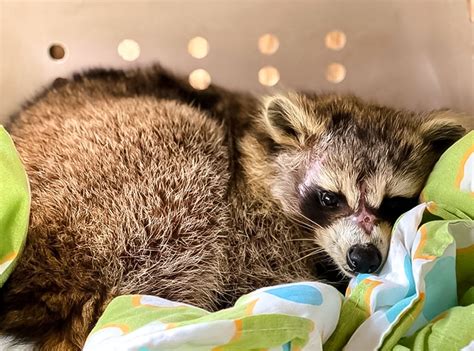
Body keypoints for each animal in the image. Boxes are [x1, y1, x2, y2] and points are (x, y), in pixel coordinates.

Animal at [0, 65, 466, 350]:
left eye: (395, 202)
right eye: (329, 198)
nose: (364, 259)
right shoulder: (247, 224)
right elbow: (263, 274)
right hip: (138, 186)